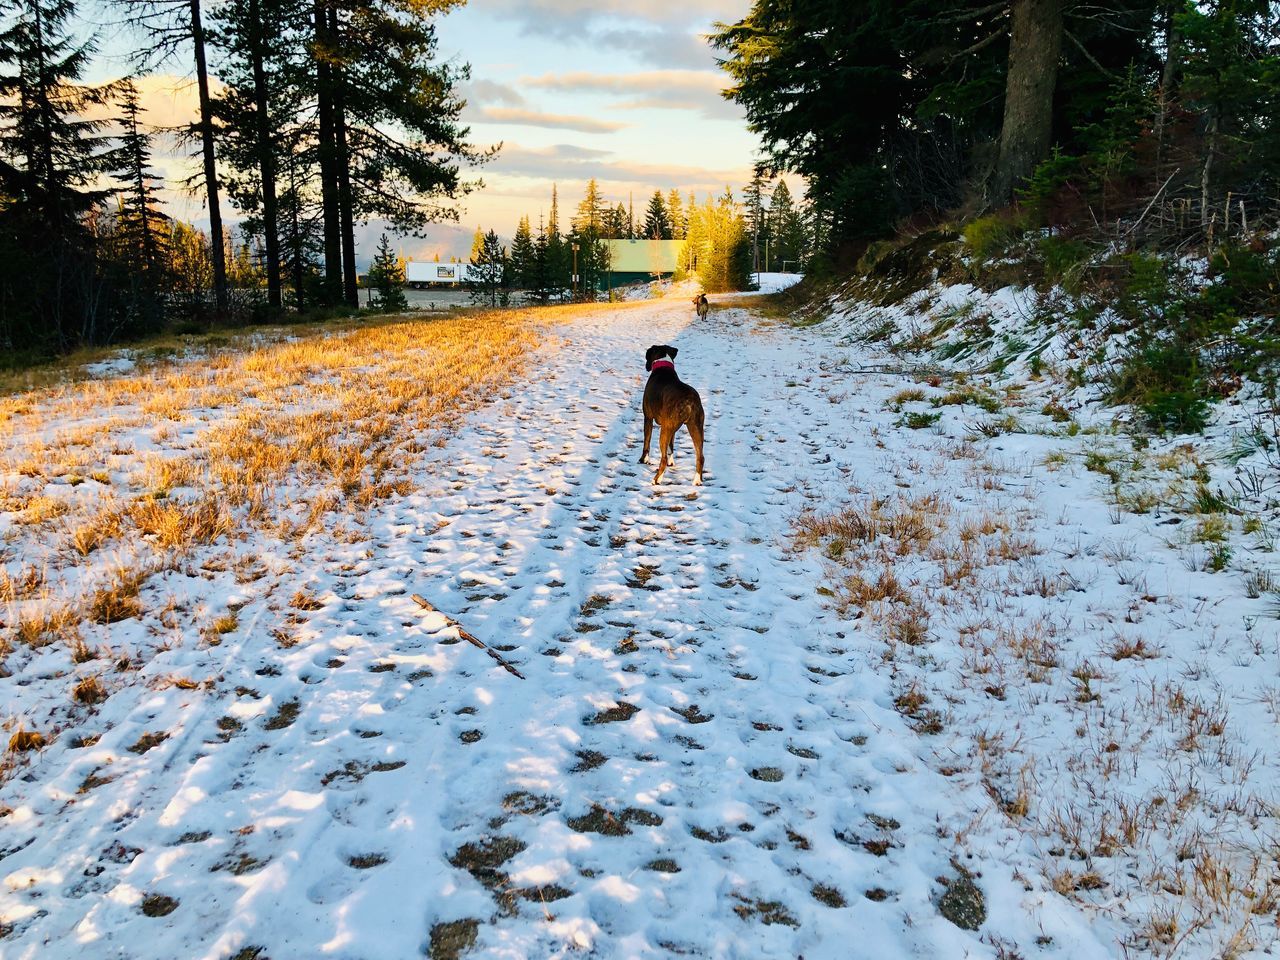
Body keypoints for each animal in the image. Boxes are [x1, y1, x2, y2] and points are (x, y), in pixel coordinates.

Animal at [645, 343, 706, 488]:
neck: (663, 365)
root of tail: (689, 401)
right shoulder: (671, 429)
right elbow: (671, 446)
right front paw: (671, 462)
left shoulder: (648, 417)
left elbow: (646, 442)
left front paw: (643, 460)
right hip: (695, 428)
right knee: (700, 456)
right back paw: (697, 480)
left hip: (665, 430)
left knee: (663, 458)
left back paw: (656, 479)